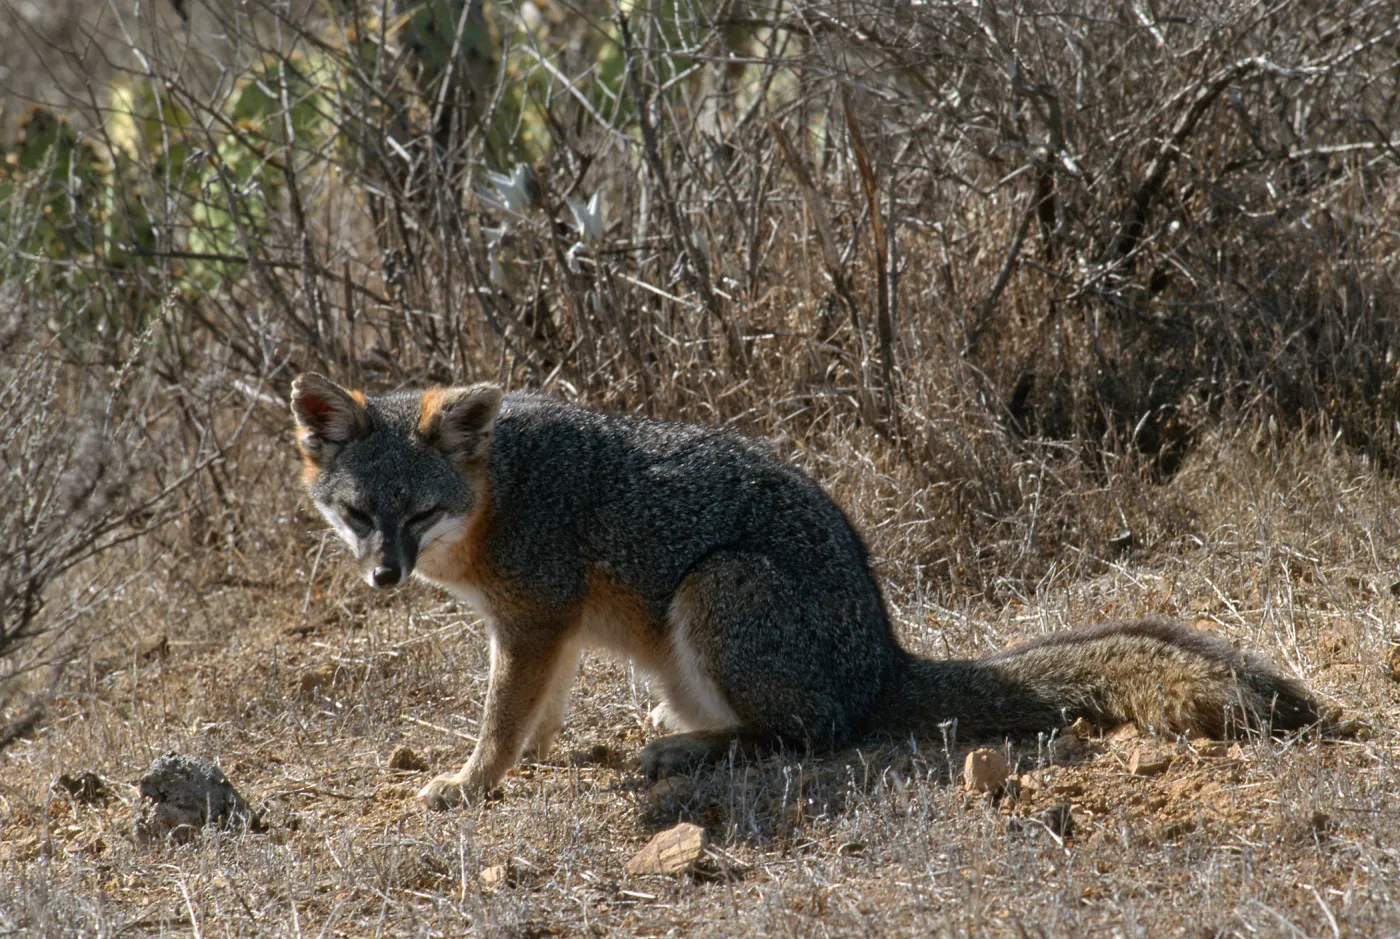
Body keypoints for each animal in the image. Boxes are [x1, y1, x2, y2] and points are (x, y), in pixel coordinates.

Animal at [289, 372, 1320, 810]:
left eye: (420, 512)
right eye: (359, 514)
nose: (383, 575)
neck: (497, 489)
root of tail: (885, 657)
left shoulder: (536, 616)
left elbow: (502, 719)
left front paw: (472, 781)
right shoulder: (550, 626)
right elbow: (534, 710)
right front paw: (533, 754)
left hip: (718, 586)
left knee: (805, 734)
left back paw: (690, 746)